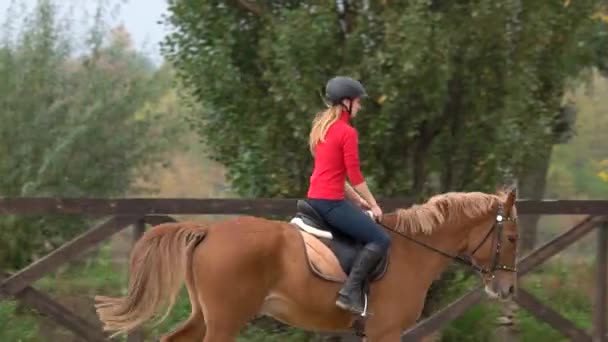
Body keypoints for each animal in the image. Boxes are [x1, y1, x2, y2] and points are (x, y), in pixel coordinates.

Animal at [95, 188, 516, 340]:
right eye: (512, 238)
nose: (507, 288)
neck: (412, 251)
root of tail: (209, 231)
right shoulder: (385, 332)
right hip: (225, 320)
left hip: (204, 315)